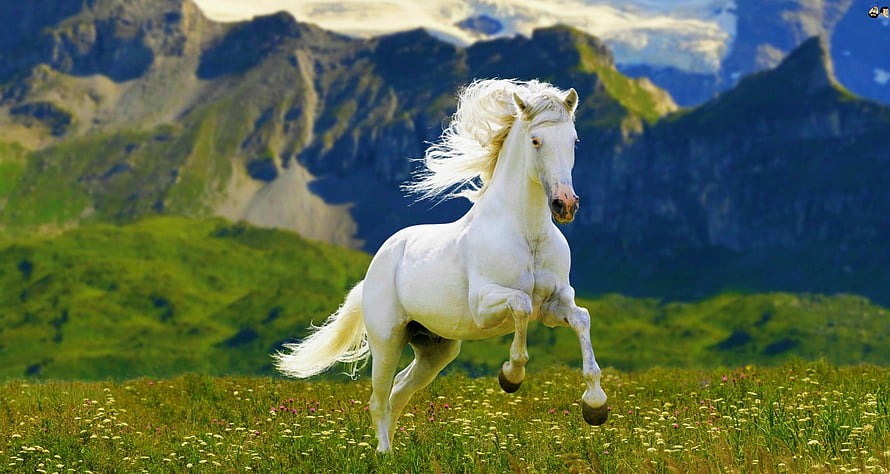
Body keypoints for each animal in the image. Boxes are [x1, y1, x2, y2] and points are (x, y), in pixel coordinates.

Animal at [274, 78, 609, 452]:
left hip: (436, 348)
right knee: (378, 398)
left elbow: (582, 319)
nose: (565, 204)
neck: (528, 234)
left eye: (574, 139)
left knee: (399, 390)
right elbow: (521, 304)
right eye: (536, 140)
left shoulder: (554, 304)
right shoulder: (485, 304)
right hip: (387, 339)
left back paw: (394, 451)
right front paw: (511, 376)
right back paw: (383, 453)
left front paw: (595, 407)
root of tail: (375, 267)